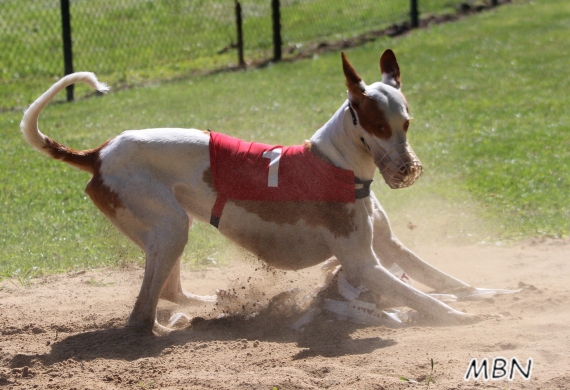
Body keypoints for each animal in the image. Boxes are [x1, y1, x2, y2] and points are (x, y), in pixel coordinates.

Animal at [20, 50, 474, 334]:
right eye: (379, 127)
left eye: (406, 123)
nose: (408, 170)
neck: (338, 161)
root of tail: (99, 153)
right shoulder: (363, 264)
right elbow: (424, 298)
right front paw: (457, 316)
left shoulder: (390, 247)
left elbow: (444, 279)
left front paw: (478, 296)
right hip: (170, 227)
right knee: (142, 317)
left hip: (168, 231)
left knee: (169, 291)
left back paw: (205, 306)